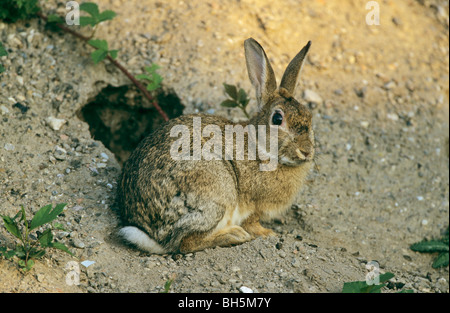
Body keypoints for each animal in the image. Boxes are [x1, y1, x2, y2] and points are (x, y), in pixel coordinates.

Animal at [118, 37, 314, 254]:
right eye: (278, 119)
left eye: (309, 116)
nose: (306, 151)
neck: (261, 148)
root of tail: (154, 237)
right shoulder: (254, 205)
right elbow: (252, 222)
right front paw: (267, 233)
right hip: (217, 193)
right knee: (186, 243)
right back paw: (232, 235)